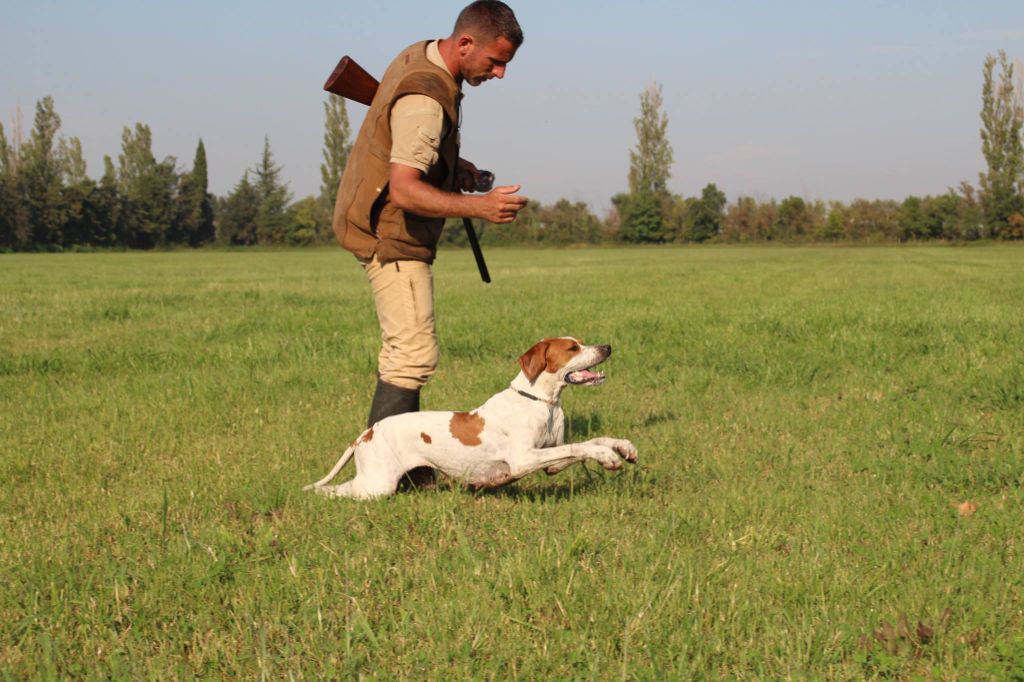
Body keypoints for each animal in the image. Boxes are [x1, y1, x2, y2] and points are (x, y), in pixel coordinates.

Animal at [305, 337, 638, 497]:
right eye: (572, 348)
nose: (607, 347)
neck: (543, 403)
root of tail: (367, 433)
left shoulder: (550, 462)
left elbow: (588, 442)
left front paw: (621, 447)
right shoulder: (524, 459)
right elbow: (581, 446)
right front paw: (607, 456)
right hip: (377, 484)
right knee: (334, 491)